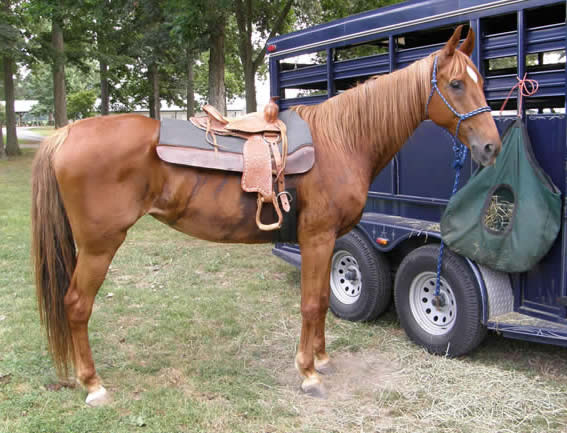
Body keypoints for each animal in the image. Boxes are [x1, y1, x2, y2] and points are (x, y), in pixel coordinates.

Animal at [31, 27, 502, 404]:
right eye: (456, 84)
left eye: (480, 81)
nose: (491, 147)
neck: (342, 140)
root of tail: (65, 134)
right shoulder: (317, 237)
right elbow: (311, 303)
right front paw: (309, 374)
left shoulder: (329, 242)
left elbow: (323, 300)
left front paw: (322, 359)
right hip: (99, 246)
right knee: (76, 305)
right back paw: (93, 385)